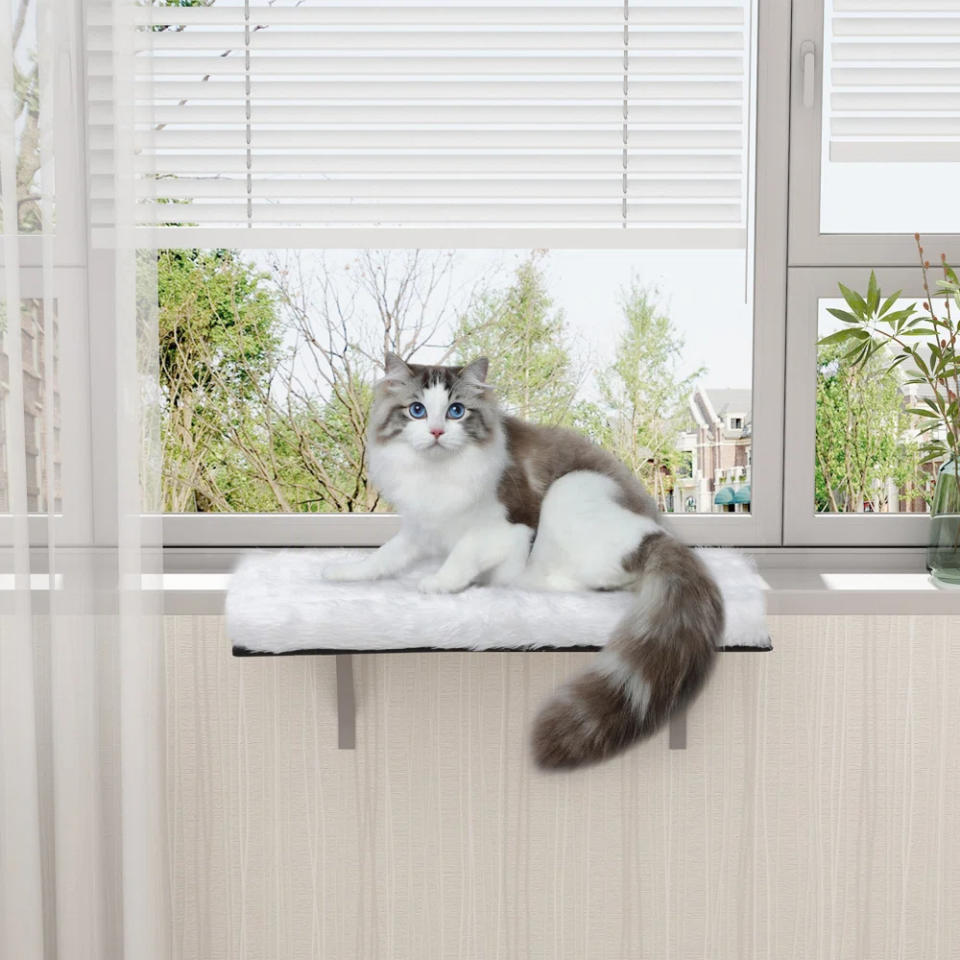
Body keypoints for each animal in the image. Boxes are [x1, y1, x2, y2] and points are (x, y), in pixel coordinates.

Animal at [326, 356, 724, 768]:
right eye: (417, 410)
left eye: (456, 411)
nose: (436, 431)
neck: (437, 477)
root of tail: (657, 535)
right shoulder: (422, 528)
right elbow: (384, 556)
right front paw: (346, 572)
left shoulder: (510, 525)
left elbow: (464, 550)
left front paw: (440, 582)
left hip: (571, 489)